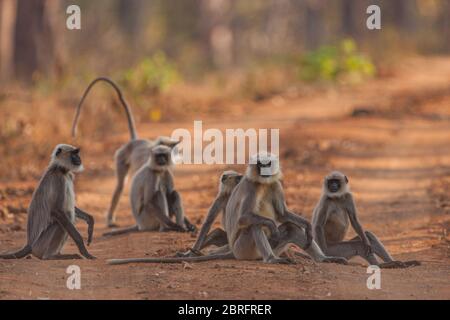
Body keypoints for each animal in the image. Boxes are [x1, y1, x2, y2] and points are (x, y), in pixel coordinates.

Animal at [72, 77, 179, 228]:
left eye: (169, 150)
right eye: (161, 150)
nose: (164, 158)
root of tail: (133, 142)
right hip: (120, 156)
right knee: (120, 186)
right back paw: (111, 220)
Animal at [107, 155, 346, 264]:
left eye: (268, 163)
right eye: (260, 164)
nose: (264, 169)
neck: (263, 184)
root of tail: (234, 252)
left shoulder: (275, 184)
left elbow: (283, 215)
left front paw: (307, 226)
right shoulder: (250, 187)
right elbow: (245, 219)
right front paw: (270, 224)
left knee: (290, 228)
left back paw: (324, 259)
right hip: (244, 249)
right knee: (255, 226)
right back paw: (271, 259)